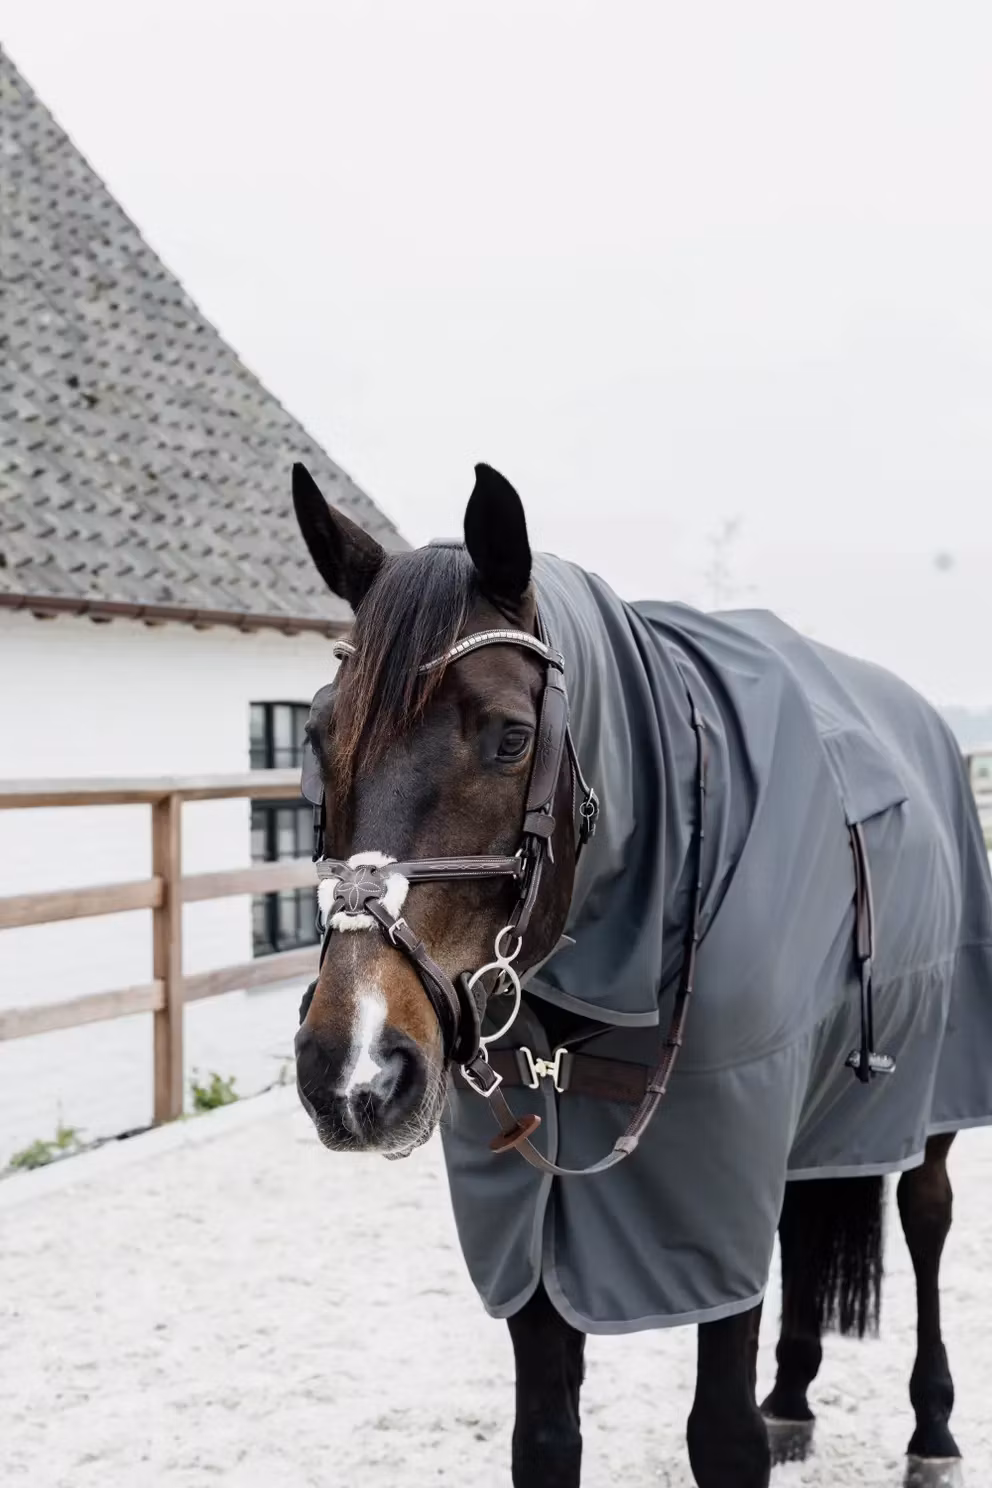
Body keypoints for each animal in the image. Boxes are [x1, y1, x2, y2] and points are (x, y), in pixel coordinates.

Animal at [291, 459, 992, 1487]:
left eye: (510, 736)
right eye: (315, 735)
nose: (354, 1069)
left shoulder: (710, 1189)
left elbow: (723, 1438)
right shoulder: (533, 1230)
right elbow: (545, 1439)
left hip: (930, 1092)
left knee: (927, 1215)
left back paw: (932, 1431)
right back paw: (793, 1397)